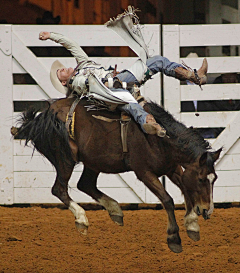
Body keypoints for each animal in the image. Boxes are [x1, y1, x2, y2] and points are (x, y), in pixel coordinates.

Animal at [13, 96, 222, 252]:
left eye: (214, 179)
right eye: (201, 179)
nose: (208, 210)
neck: (158, 137)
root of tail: (42, 116)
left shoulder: (171, 168)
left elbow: (186, 190)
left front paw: (192, 224)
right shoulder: (144, 172)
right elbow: (167, 200)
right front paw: (174, 238)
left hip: (93, 161)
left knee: (85, 184)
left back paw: (115, 210)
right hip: (65, 159)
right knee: (59, 189)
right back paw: (82, 219)